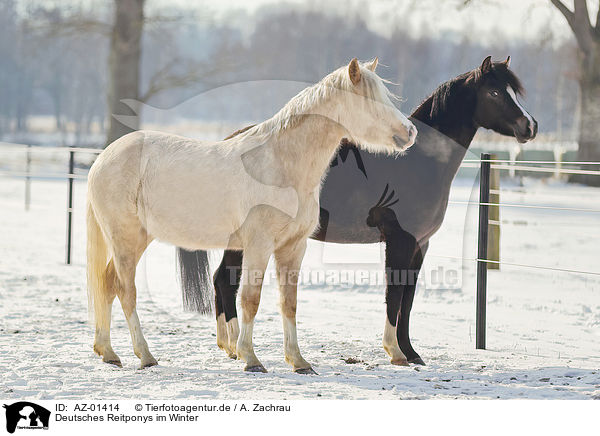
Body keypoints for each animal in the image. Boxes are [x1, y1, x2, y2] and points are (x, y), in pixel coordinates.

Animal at [88, 57, 418, 372]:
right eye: (371, 99)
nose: (410, 132)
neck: (282, 165)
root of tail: (103, 159)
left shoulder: (293, 247)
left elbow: (289, 303)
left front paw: (298, 361)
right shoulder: (258, 245)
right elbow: (250, 298)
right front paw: (251, 358)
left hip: (138, 239)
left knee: (107, 284)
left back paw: (108, 353)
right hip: (125, 238)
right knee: (125, 290)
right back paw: (145, 355)